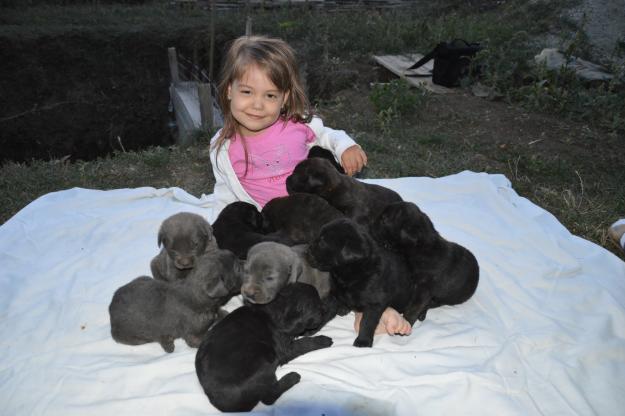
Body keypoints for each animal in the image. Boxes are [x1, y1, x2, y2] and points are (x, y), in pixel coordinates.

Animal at [109, 249, 241, 352]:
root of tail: (110, 306)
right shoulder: (193, 336)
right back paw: (167, 342)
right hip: (131, 337)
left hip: (143, 278)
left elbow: (219, 312)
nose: (244, 262)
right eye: (236, 269)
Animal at [195, 282, 332, 412]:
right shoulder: (285, 348)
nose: (325, 308)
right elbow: (304, 343)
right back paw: (292, 377)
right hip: (264, 360)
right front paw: (323, 340)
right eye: (317, 307)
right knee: (268, 398)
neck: (281, 307)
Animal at [306, 218, 422, 348]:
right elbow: (325, 311)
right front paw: (312, 329)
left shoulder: (375, 304)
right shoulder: (334, 295)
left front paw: (363, 341)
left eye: (322, 242)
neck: (349, 274)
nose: (307, 249)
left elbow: (366, 323)